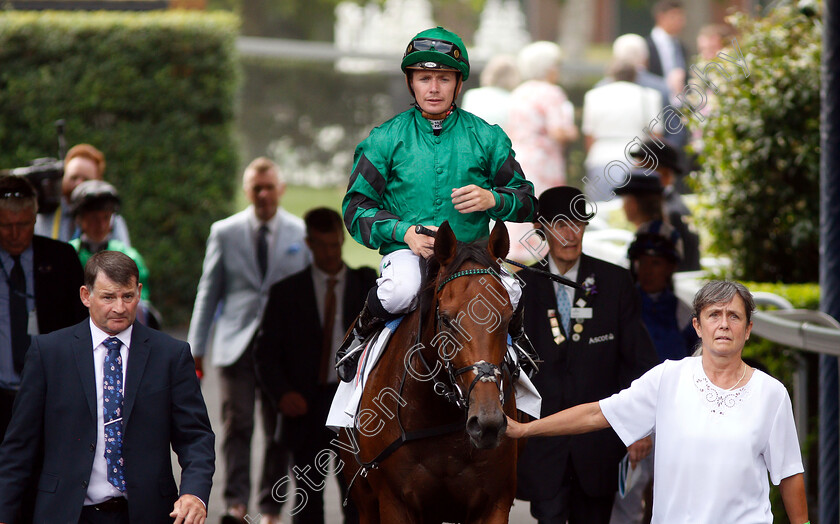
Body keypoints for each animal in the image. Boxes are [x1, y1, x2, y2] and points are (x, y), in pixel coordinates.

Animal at [338, 219, 520, 520]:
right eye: (446, 320)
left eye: (507, 318)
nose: (487, 422)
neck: (437, 418)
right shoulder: (394, 503)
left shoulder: (495, 503)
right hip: (365, 500)